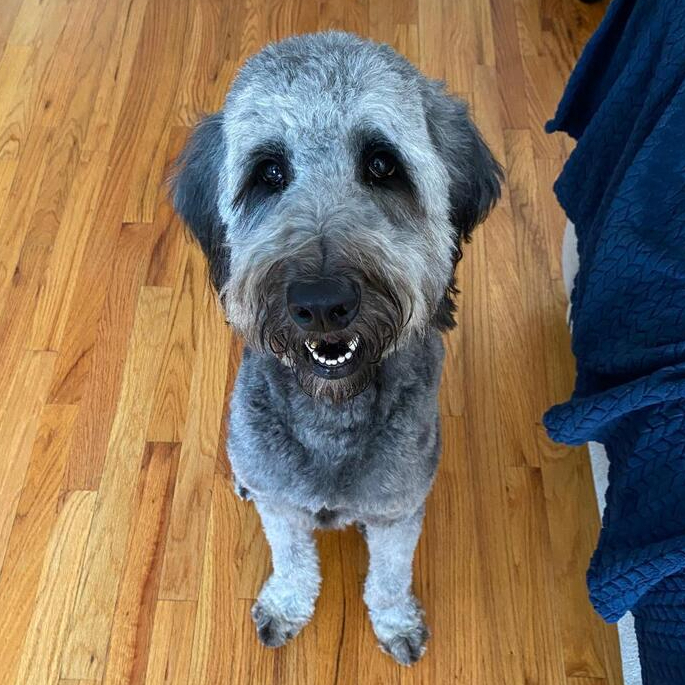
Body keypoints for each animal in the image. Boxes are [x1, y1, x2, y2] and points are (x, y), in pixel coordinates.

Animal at [172, 30, 502, 664]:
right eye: (269, 172)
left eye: (382, 164)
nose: (321, 302)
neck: (332, 411)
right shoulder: (282, 505)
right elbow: (293, 561)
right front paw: (286, 604)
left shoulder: (399, 509)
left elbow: (390, 577)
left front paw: (395, 621)